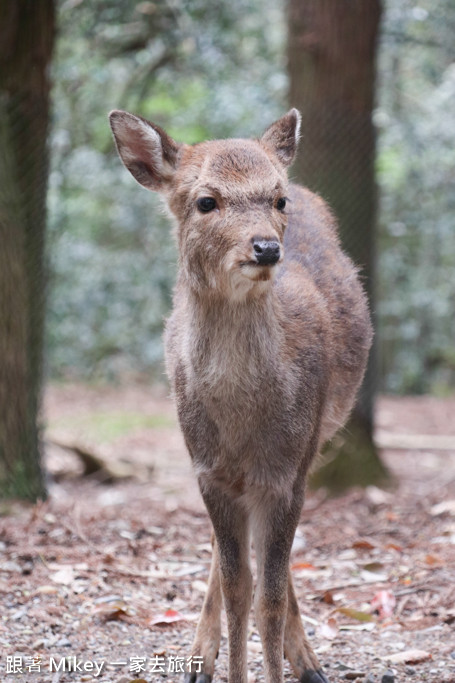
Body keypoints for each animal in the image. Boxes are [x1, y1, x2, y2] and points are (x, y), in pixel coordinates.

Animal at [110, 108, 374, 683]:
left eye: (278, 200)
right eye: (206, 201)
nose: (267, 247)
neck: (242, 419)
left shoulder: (288, 467)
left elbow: (267, 594)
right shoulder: (209, 469)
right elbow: (239, 587)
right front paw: (224, 666)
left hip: (316, 441)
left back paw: (307, 661)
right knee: (228, 557)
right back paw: (198, 658)